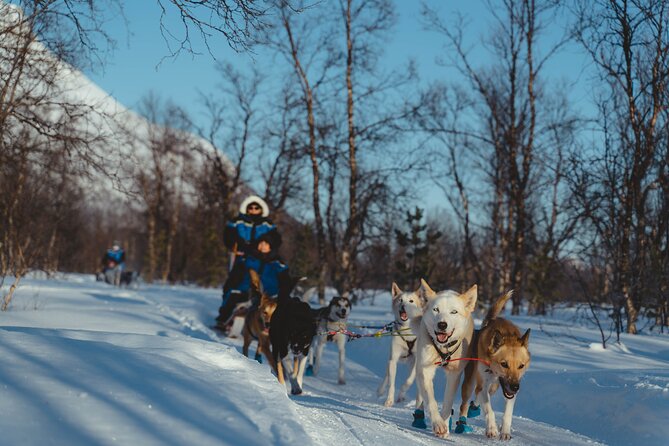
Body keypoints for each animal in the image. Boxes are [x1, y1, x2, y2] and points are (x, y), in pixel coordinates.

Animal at [410, 280, 478, 438]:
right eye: (436, 310)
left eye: (454, 312)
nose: (442, 324)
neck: (443, 348)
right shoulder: (425, 370)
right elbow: (431, 400)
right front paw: (438, 424)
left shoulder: (454, 374)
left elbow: (448, 403)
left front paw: (445, 424)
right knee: (420, 394)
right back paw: (419, 417)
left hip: (469, 381)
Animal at [456, 290, 528, 440]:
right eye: (504, 364)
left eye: (521, 366)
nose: (515, 387)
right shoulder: (483, 383)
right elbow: (489, 409)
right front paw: (491, 429)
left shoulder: (509, 392)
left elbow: (508, 413)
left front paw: (505, 431)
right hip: (470, 383)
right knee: (466, 402)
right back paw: (463, 420)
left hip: (494, 387)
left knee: (481, 395)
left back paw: (474, 407)